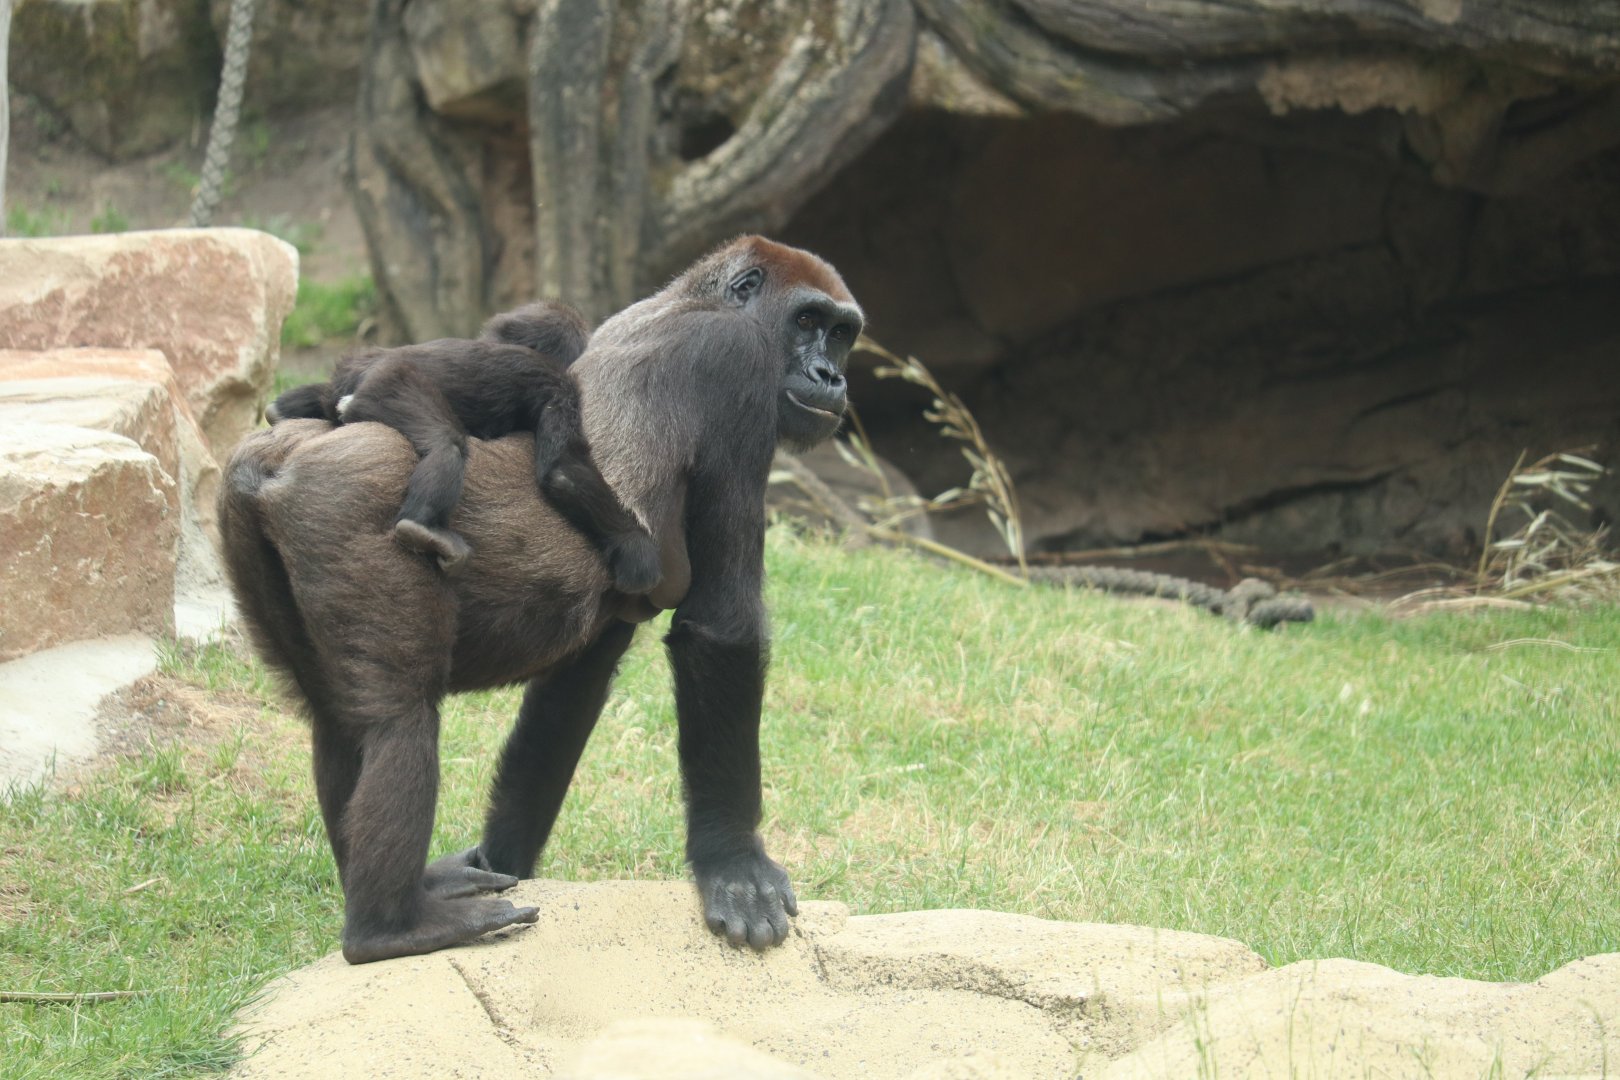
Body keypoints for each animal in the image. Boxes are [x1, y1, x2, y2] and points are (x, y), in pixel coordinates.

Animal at [264, 301, 661, 593]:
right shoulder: (559, 386)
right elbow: (563, 472)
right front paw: (635, 547)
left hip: (350, 374)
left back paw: (277, 411)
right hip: (391, 387)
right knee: (446, 445)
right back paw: (422, 527)